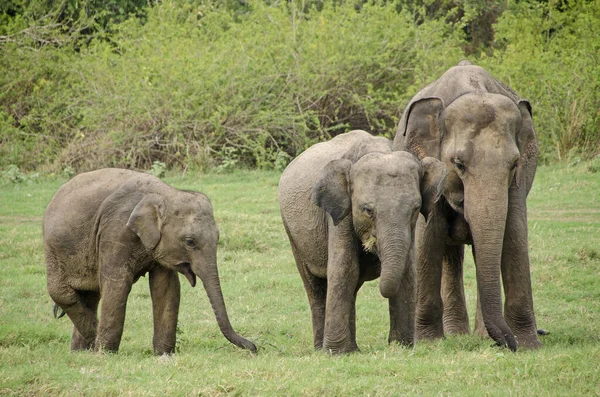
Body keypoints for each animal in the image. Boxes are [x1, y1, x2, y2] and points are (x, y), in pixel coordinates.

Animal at [44, 169, 255, 354]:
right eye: (190, 242)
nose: (254, 347)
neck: (165, 193)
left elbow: (167, 287)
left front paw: (163, 354)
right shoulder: (115, 231)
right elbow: (117, 285)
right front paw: (105, 354)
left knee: (90, 295)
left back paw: (80, 351)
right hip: (53, 250)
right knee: (62, 293)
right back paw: (91, 341)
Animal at [278, 131, 448, 352]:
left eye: (415, 208)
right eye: (367, 210)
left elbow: (408, 271)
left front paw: (401, 347)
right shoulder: (339, 212)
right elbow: (345, 267)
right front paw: (336, 353)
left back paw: (352, 349)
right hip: (292, 232)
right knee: (315, 287)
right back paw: (322, 349)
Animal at [394, 59, 544, 350]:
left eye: (514, 164)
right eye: (458, 164)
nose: (507, 344)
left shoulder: (518, 183)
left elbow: (514, 235)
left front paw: (528, 345)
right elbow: (427, 238)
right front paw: (428, 343)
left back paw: (478, 335)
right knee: (450, 254)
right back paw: (456, 335)